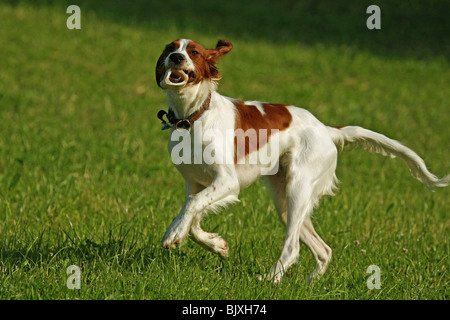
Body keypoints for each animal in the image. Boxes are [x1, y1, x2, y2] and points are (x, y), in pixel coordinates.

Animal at [154, 39, 446, 282]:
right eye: (170, 48)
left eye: (193, 52)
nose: (176, 57)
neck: (193, 117)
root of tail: (327, 130)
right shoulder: (196, 183)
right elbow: (193, 218)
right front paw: (216, 244)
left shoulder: (227, 181)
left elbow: (192, 207)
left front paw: (172, 234)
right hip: (285, 198)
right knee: (324, 249)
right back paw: (309, 284)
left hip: (298, 187)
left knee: (293, 247)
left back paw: (270, 279)